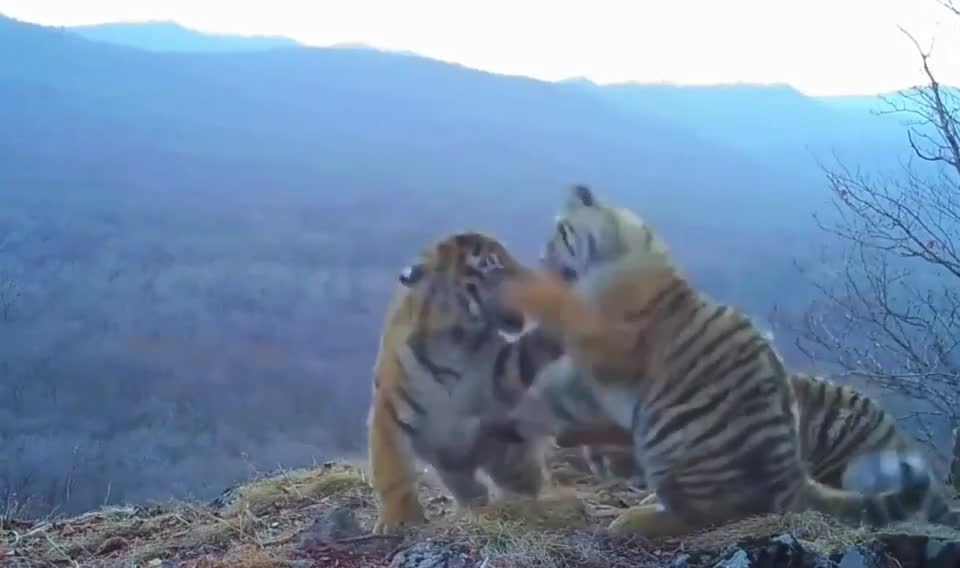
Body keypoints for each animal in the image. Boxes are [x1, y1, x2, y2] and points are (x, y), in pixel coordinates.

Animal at [364, 231, 568, 532]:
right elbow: (393, 471)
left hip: (506, 452)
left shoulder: (501, 373)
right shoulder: (389, 411)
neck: (455, 342)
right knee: (473, 490)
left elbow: (527, 353)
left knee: (521, 476)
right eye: (492, 264)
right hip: (451, 466)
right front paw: (398, 518)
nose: (537, 281)